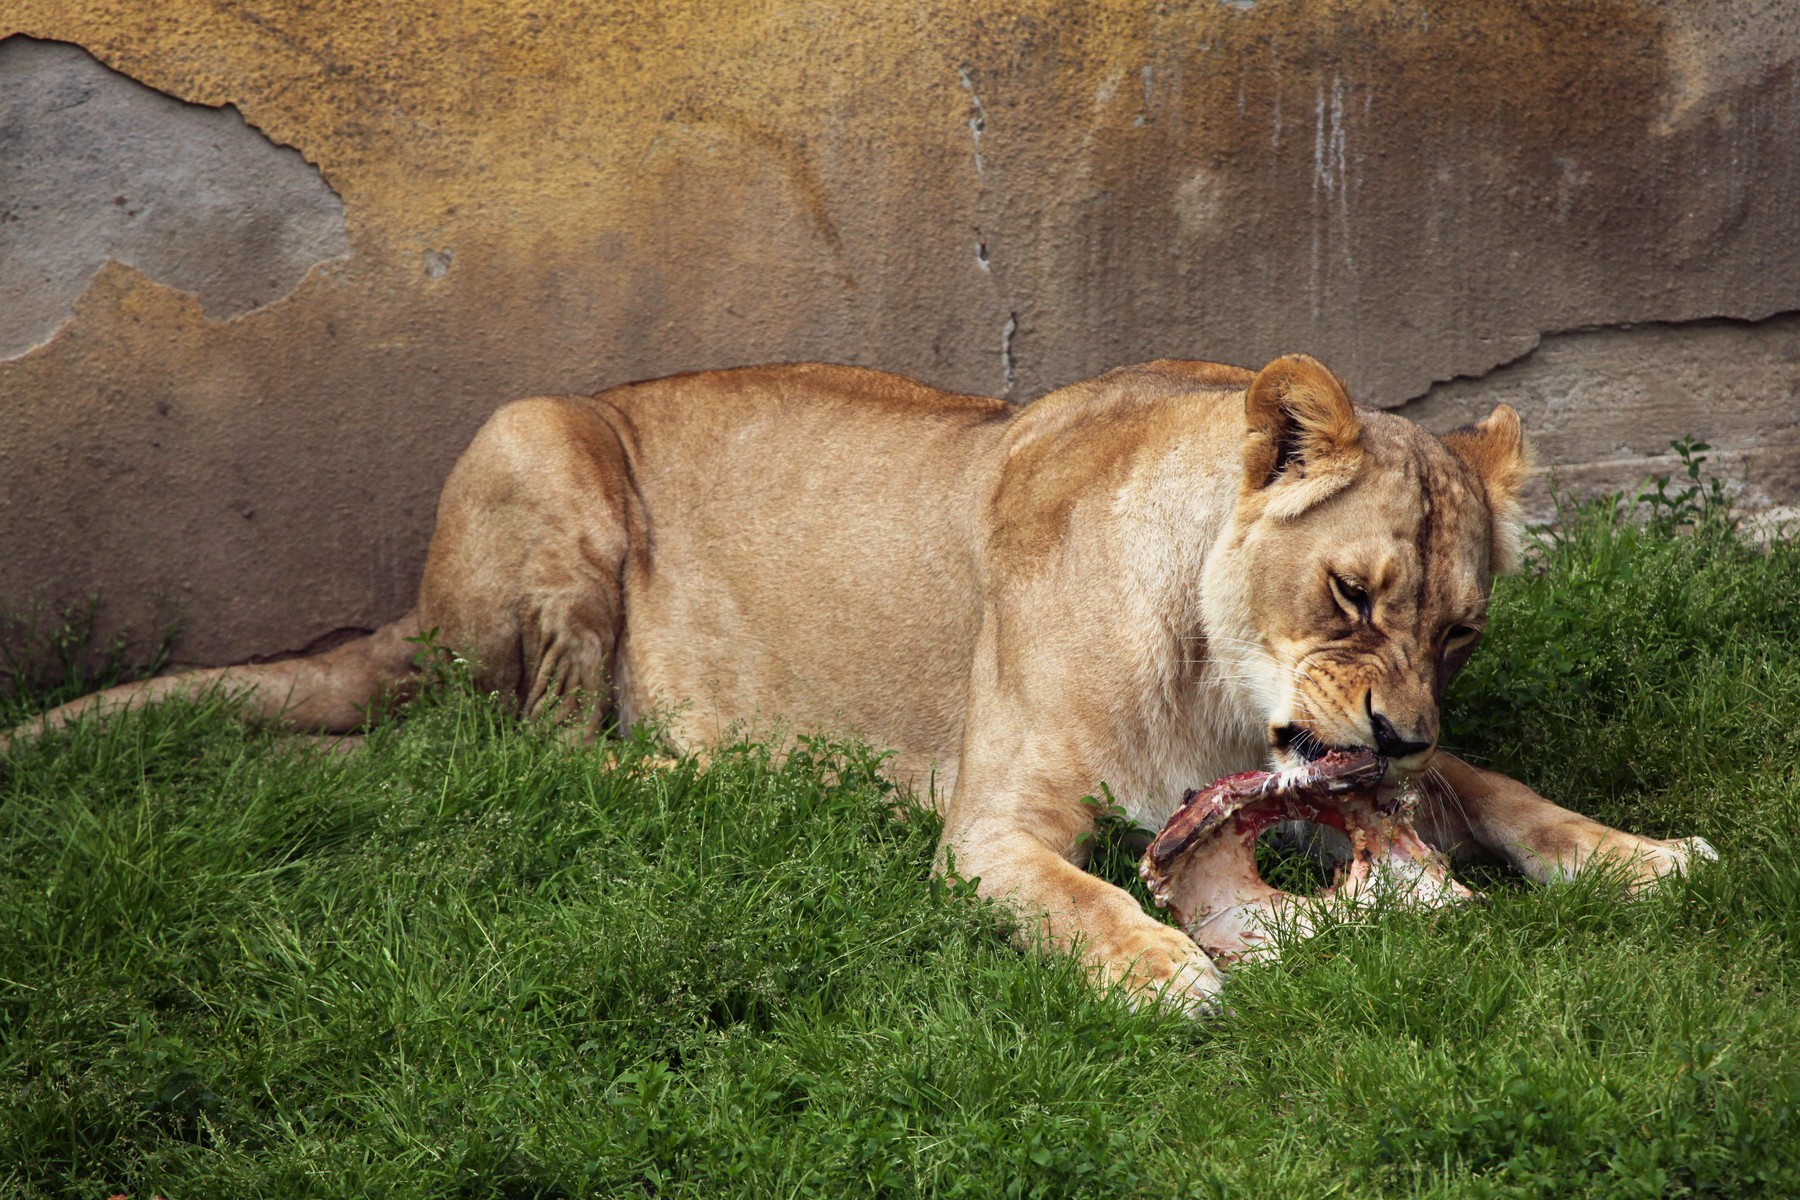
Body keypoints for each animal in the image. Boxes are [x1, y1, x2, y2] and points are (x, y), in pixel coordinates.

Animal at [7, 353, 1715, 1010]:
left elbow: (1511, 795)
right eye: (1352, 593)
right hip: (537, 439)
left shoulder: (1393, 763)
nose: (1399, 732)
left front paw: (1647, 855)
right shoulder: (994, 826)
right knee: (524, 758)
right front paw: (1170, 973)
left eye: (1465, 632)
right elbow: (1084, 896)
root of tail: (402, 618)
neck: (1223, 680)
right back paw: (757, 775)